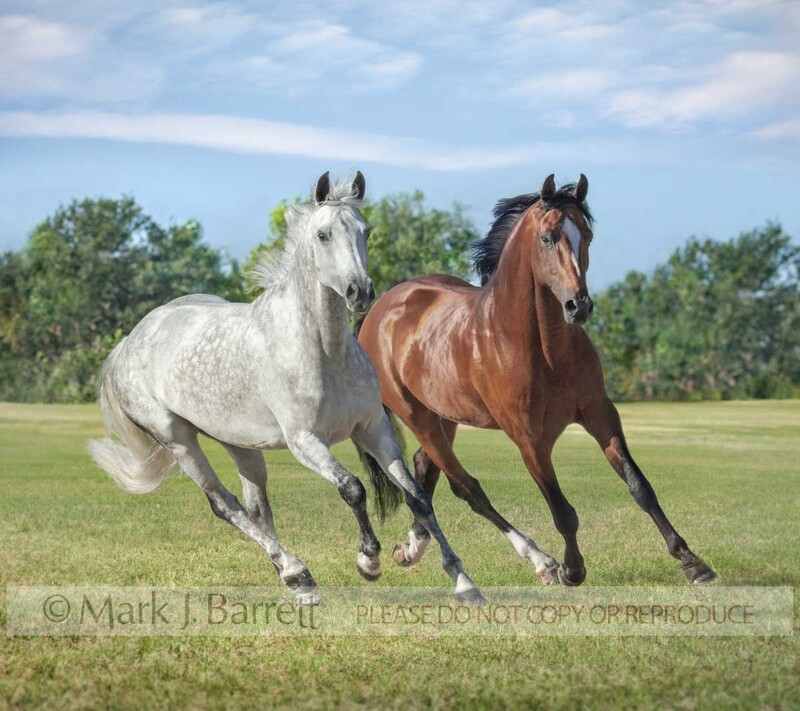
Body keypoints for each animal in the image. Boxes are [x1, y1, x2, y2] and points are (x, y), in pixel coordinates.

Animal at [88, 171, 483, 605]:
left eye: (366, 231)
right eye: (323, 235)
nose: (360, 292)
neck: (323, 351)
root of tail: (129, 342)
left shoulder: (372, 428)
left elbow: (417, 497)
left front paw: (464, 582)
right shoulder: (305, 440)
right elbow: (353, 488)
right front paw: (369, 561)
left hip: (239, 443)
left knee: (256, 507)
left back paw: (295, 580)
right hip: (178, 440)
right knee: (225, 505)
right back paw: (297, 571)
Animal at [357, 173, 717, 587]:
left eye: (587, 235)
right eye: (547, 238)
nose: (579, 306)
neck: (542, 349)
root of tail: (379, 309)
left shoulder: (600, 414)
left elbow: (640, 487)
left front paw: (692, 562)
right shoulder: (529, 438)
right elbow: (562, 510)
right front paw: (571, 570)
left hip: (444, 417)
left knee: (423, 474)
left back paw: (410, 549)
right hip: (418, 418)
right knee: (467, 488)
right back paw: (540, 561)